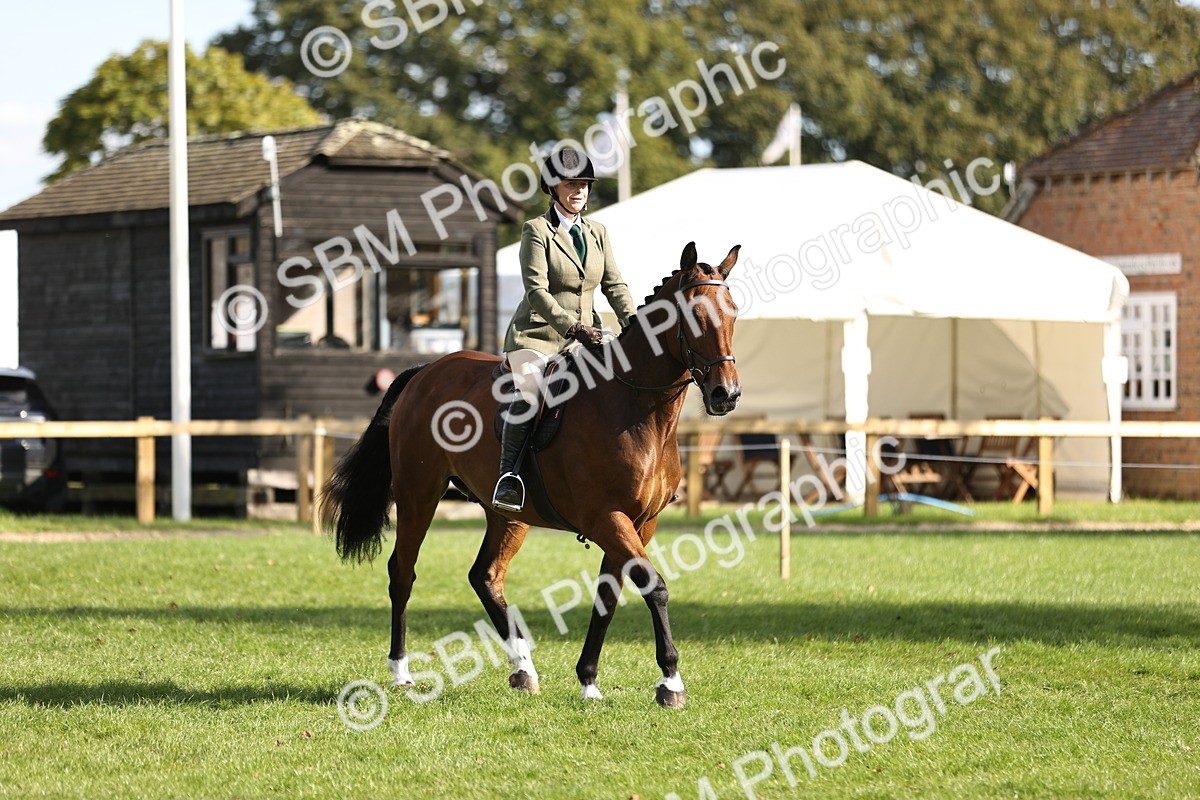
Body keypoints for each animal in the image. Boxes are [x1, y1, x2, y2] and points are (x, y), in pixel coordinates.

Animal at [320, 241, 741, 707]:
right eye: (694, 316)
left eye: (734, 313)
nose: (726, 394)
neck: (635, 408)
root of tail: (425, 372)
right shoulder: (607, 519)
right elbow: (655, 587)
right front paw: (670, 681)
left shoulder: (640, 523)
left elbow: (607, 598)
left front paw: (588, 680)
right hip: (418, 495)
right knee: (403, 573)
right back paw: (401, 672)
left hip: (507, 513)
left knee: (485, 576)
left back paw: (523, 668)